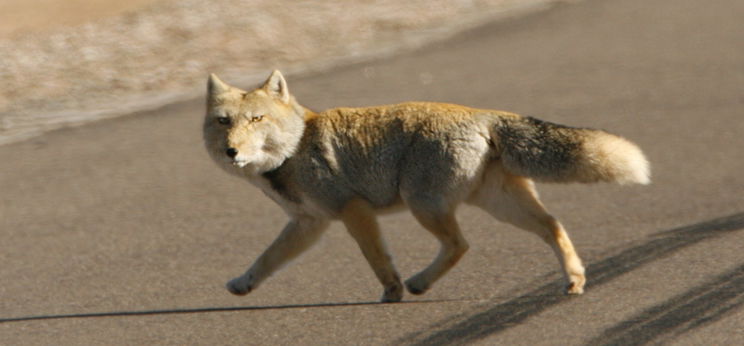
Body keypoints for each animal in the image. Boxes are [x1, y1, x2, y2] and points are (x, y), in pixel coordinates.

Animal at [203, 69, 652, 302]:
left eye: (256, 120)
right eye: (224, 122)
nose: (230, 150)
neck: (296, 146)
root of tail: (480, 112)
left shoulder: (352, 211)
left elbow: (378, 259)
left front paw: (392, 290)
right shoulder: (309, 223)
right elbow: (268, 258)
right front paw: (243, 284)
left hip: (423, 203)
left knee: (460, 244)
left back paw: (419, 282)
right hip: (499, 204)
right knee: (553, 226)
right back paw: (574, 279)